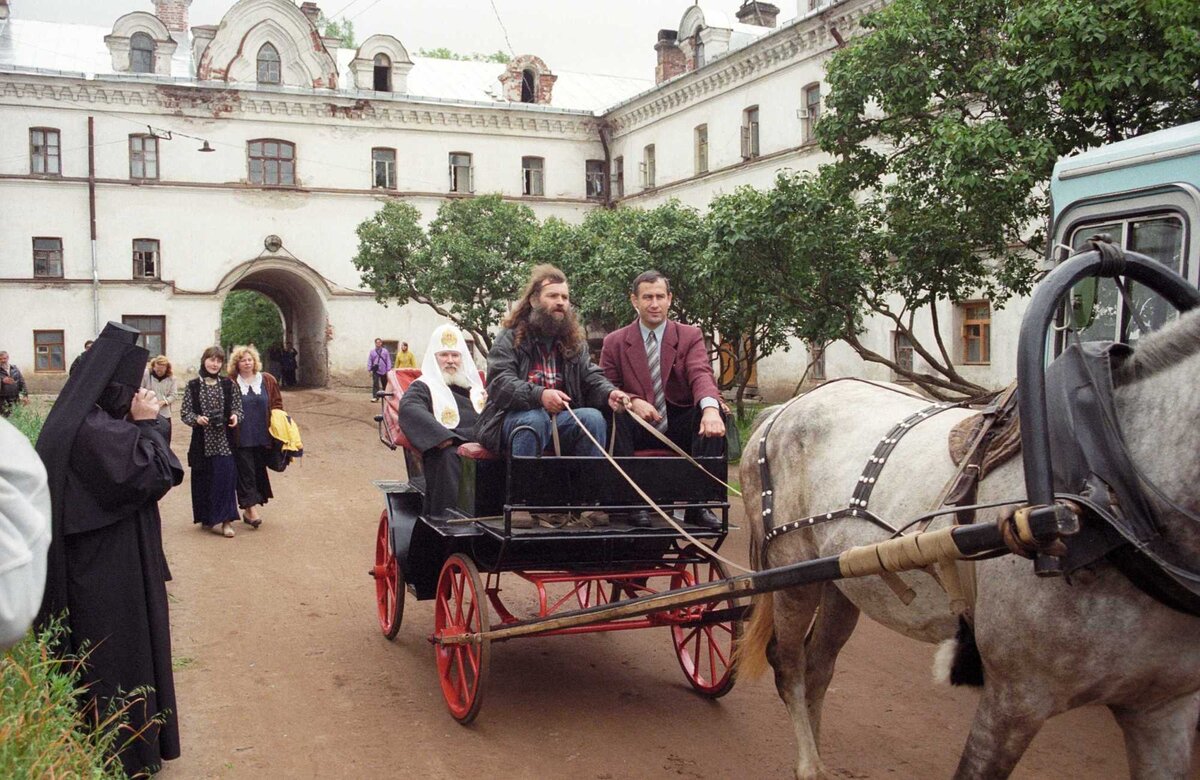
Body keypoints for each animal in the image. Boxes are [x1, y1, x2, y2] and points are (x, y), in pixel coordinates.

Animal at [734, 307, 1200, 772]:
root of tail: (782, 410)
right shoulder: (1016, 695)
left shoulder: (1163, 708)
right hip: (792, 578)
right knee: (788, 666)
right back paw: (809, 764)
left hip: (841, 584)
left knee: (818, 668)